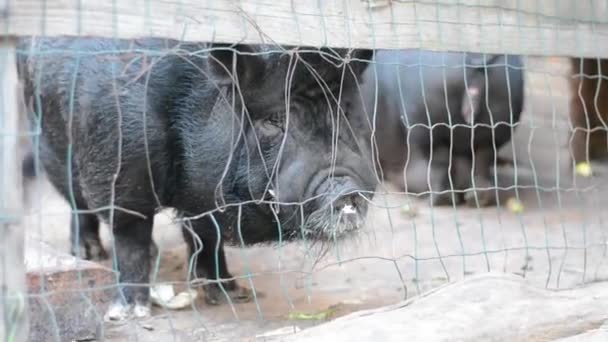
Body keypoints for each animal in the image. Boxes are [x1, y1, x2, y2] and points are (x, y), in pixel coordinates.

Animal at [17, 37, 376, 320]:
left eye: (344, 110)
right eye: (274, 120)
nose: (345, 185)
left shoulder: (202, 198)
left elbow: (206, 236)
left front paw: (229, 293)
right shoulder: (119, 174)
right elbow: (130, 237)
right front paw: (130, 313)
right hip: (48, 142)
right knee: (78, 204)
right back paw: (90, 254)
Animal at [358, 50, 524, 206]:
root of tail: (474, 61)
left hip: (428, 126)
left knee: (439, 162)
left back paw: (440, 200)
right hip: (496, 126)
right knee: (482, 158)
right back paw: (477, 198)